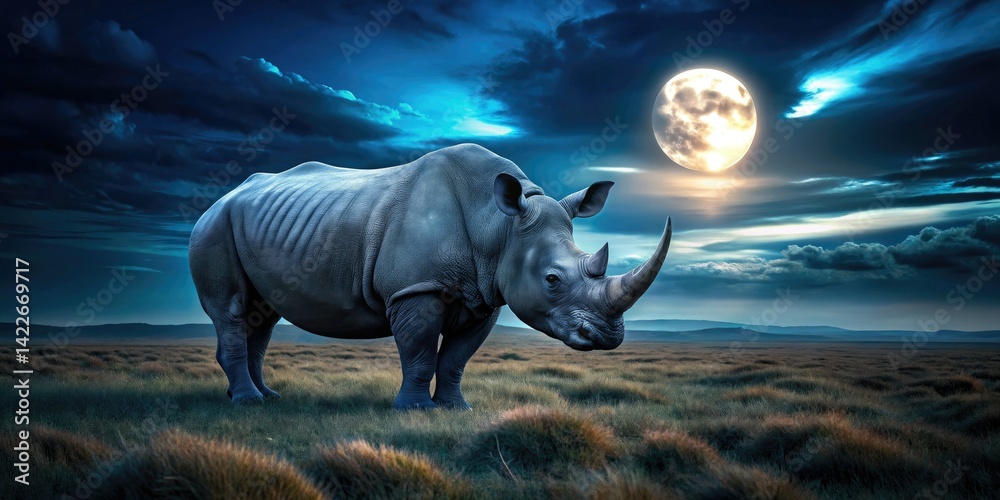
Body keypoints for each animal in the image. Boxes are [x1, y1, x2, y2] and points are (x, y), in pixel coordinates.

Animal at [189, 144, 671, 409]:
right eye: (552, 280)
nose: (608, 336)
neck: (497, 225)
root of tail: (222, 197)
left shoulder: (485, 293)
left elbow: (457, 356)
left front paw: (456, 408)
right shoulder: (415, 288)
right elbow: (420, 348)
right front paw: (415, 411)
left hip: (257, 225)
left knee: (263, 315)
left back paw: (265, 398)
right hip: (214, 228)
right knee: (233, 309)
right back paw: (248, 401)